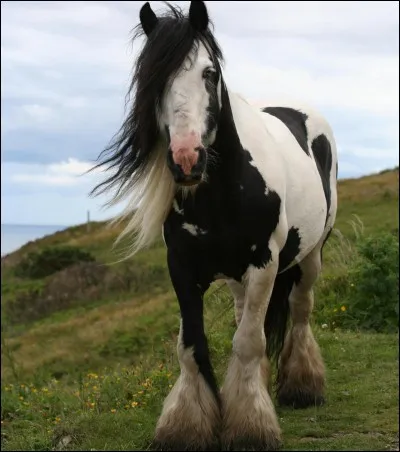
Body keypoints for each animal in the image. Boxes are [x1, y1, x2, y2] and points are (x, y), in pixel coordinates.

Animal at [90, 1, 338, 450]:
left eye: (209, 73)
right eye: (154, 80)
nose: (187, 160)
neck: (223, 191)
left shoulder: (264, 264)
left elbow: (249, 341)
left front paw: (251, 427)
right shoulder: (183, 269)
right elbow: (192, 346)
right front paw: (186, 426)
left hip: (309, 257)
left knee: (300, 309)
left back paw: (302, 386)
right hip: (241, 279)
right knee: (248, 317)